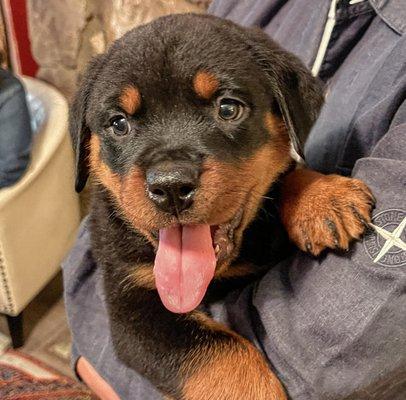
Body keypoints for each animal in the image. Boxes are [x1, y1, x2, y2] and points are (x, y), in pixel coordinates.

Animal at [69, 12, 374, 400]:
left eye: (227, 108)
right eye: (118, 123)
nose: (171, 186)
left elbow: (287, 172)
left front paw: (323, 198)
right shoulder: (130, 301)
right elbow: (220, 355)